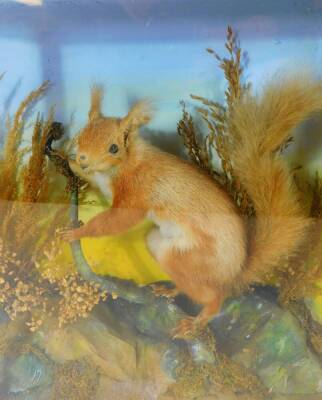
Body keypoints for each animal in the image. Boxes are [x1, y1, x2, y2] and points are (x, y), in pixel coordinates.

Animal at [62, 77, 322, 338]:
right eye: (81, 133)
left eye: (114, 148)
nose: (83, 158)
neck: (125, 164)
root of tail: (234, 272)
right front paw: (69, 163)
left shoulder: (137, 191)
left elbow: (116, 221)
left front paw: (75, 232)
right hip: (158, 242)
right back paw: (172, 291)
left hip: (189, 258)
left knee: (215, 296)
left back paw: (198, 320)